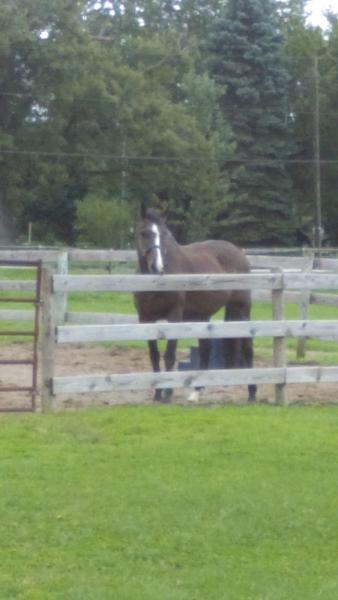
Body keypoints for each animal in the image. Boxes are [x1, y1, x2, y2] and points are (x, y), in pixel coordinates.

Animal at [135, 206, 256, 404]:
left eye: (165, 234)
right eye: (144, 233)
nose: (157, 267)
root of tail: (238, 252)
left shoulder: (175, 317)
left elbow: (169, 355)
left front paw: (167, 393)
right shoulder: (145, 319)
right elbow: (154, 356)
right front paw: (157, 393)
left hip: (241, 308)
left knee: (247, 347)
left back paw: (252, 392)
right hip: (203, 316)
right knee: (205, 350)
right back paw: (196, 392)